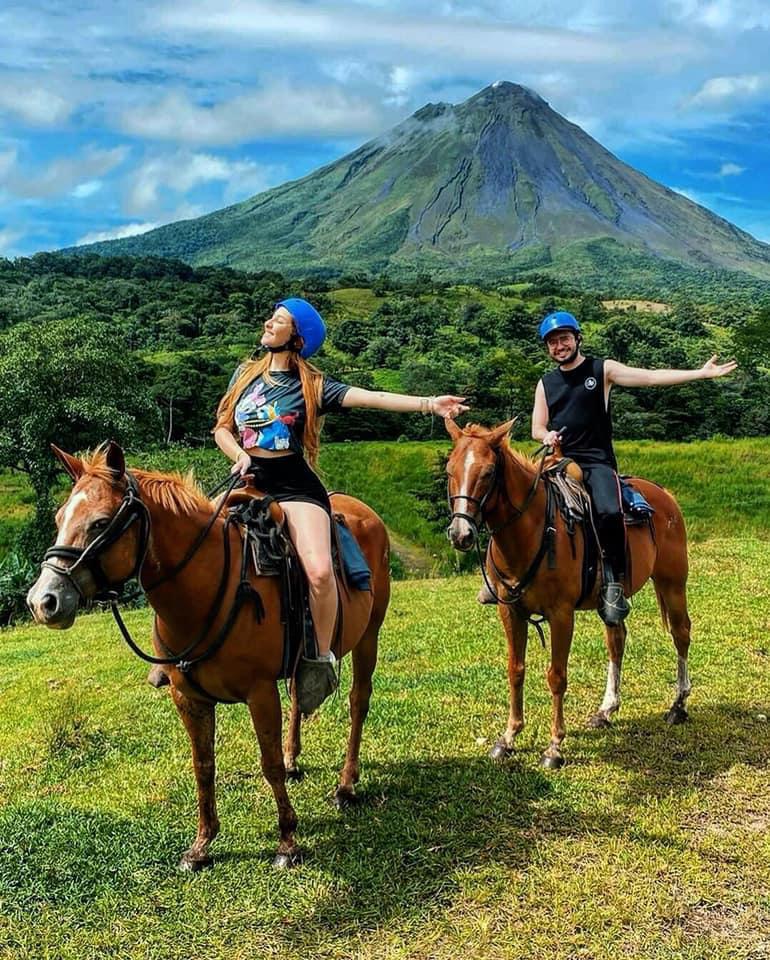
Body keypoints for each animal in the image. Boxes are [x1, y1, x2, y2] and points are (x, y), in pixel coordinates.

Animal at [28, 442, 390, 872]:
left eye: (100, 523)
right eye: (59, 518)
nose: (42, 601)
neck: (209, 587)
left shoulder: (259, 692)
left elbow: (267, 764)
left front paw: (287, 841)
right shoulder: (188, 697)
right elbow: (203, 766)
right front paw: (202, 844)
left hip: (369, 635)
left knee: (358, 702)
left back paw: (346, 785)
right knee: (300, 697)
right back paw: (294, 759)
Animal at [444, 420, 688, 764]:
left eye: (489, 472)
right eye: (449, 470)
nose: (460, 533)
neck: (532, 529)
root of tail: (665, 495)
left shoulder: (561, 614)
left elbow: (556, 675)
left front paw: (554, 745)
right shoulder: (510, 611)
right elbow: (515, 670)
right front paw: (509, 736)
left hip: (672, 582)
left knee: (681, 633)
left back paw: (678, 705)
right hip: (612, 601)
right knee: (617, 640)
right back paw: (606, 710)